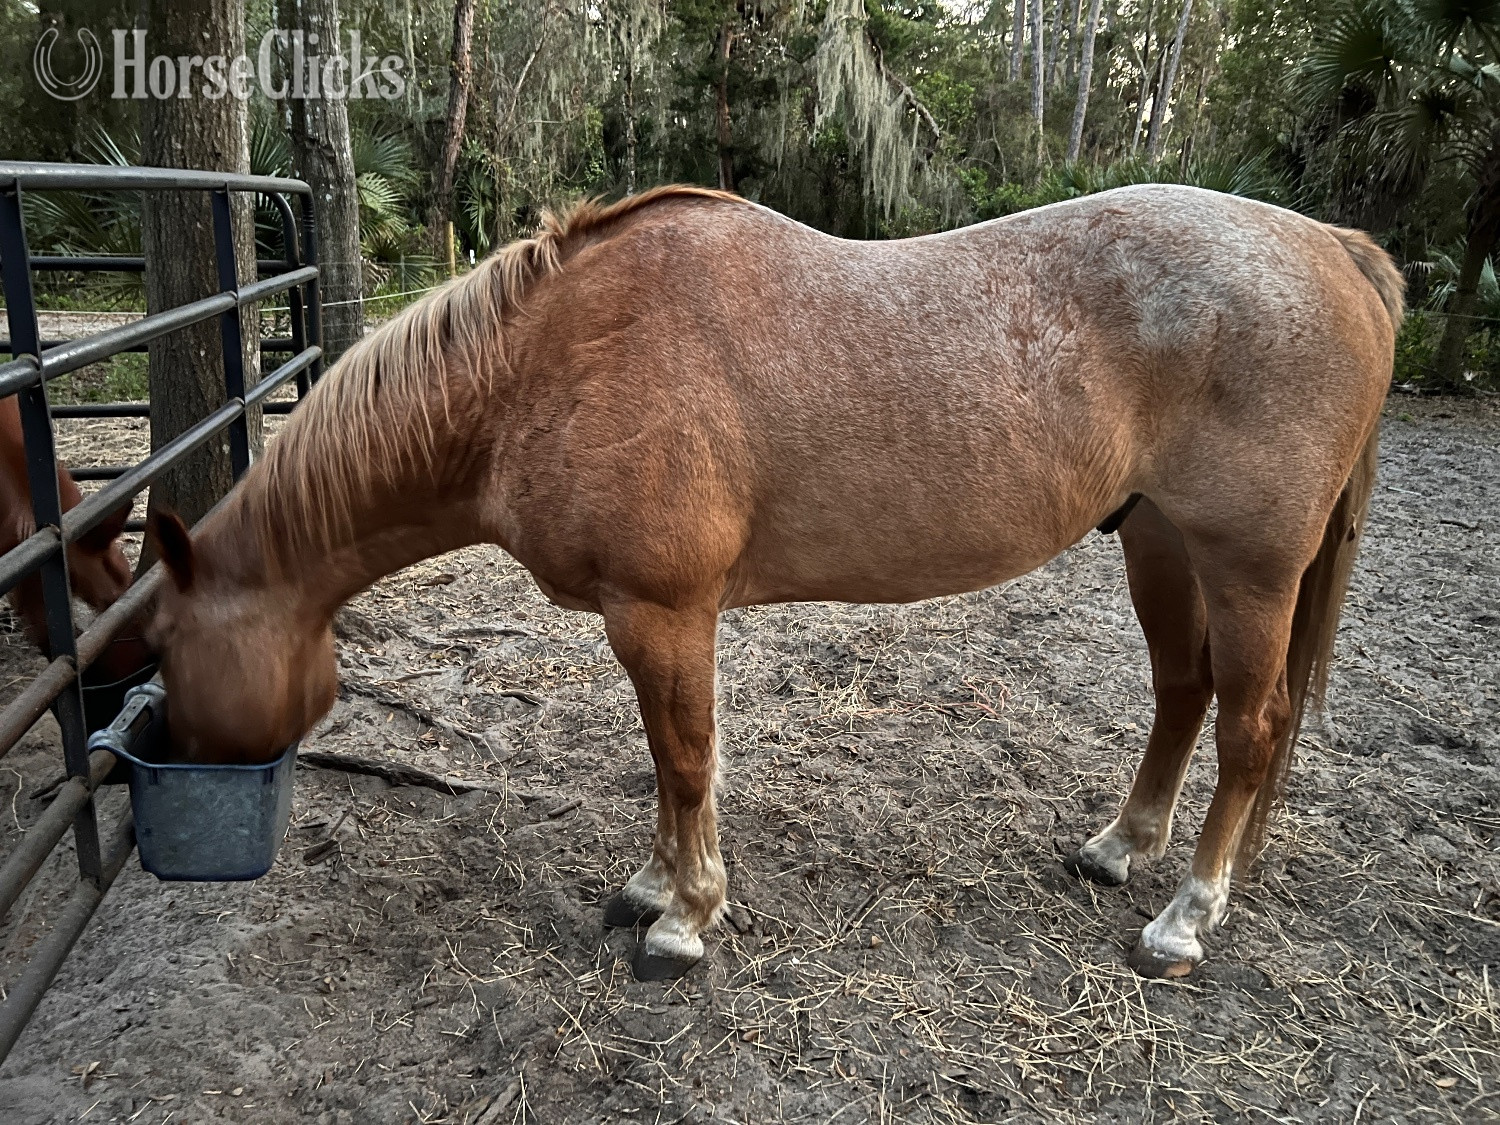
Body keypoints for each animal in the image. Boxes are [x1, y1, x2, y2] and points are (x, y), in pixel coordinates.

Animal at [143, 183, 1401, 982]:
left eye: (165, 649)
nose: (182, 768)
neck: (544, 364)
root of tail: (1337, 247)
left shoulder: (663, 612)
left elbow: (686, 760)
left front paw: (684, 923)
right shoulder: (646, 620)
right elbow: (667, 765)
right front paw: (654, 888)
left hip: (1248, 566)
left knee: (1250, 727)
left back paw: (1185, 919)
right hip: (1159, 544)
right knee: (1184, 696)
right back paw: (1119, 847)